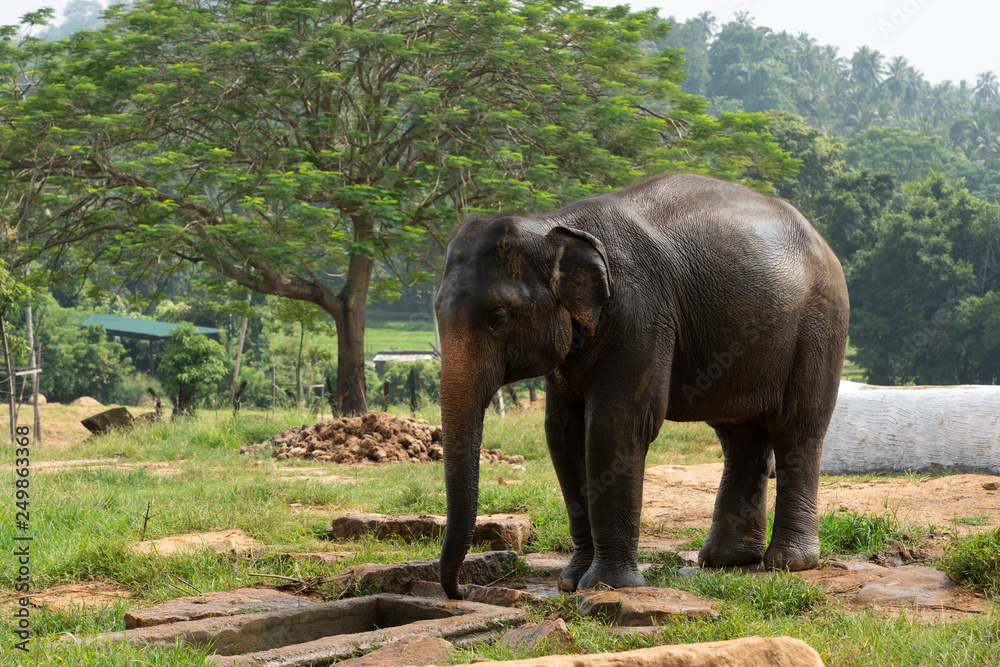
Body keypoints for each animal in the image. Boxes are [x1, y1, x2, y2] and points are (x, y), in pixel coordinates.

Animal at [434, 172, 849, 599]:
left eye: (498, 317)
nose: (462, 590)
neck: (552, 224)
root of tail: (821, 241)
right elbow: (561, 434)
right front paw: (570, 581)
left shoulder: (640, 311)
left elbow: (614, 426)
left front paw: (607, 586)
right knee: (741, 437)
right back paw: (726, 561)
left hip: (820, 325)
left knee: (797, 427)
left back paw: (789, 563)